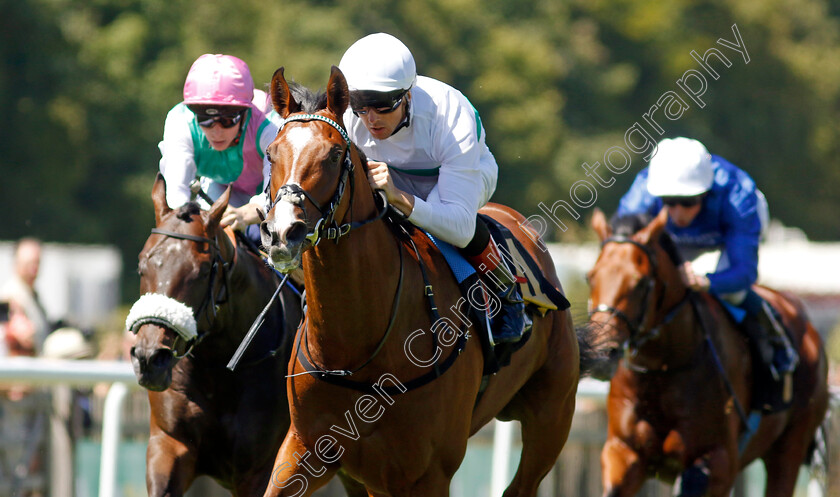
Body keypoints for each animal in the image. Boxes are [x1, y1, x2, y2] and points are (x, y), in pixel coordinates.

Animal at [129, 175, 364, 496]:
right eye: (142, 264)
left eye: (203, 269)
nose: (150, 358)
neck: (218, 367)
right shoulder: (167, 446)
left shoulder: (259, 470)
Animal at [260, 66, 592, 496]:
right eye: (271, 153)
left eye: (334, 155)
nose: (282, 233)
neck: (356, 349)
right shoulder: (307, 451)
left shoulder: (428, 473)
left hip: (552, 416)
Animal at [588, 208, 832, 496]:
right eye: (590, 277)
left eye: (640, 282)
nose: (602, 352)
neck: (663, 369)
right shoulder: (623, 452)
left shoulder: (717, 462)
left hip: (790, 446)